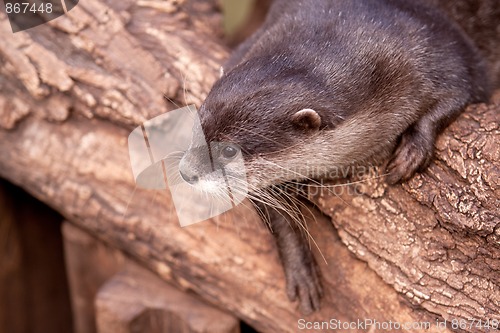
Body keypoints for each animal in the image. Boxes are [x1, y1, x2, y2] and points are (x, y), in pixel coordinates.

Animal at [180, 0, 500, 312]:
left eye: (229, 150)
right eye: (198, 122)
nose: (186, 172)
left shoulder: (438, 53)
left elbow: (461, 90)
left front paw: (412, 152)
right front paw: (300, 271)